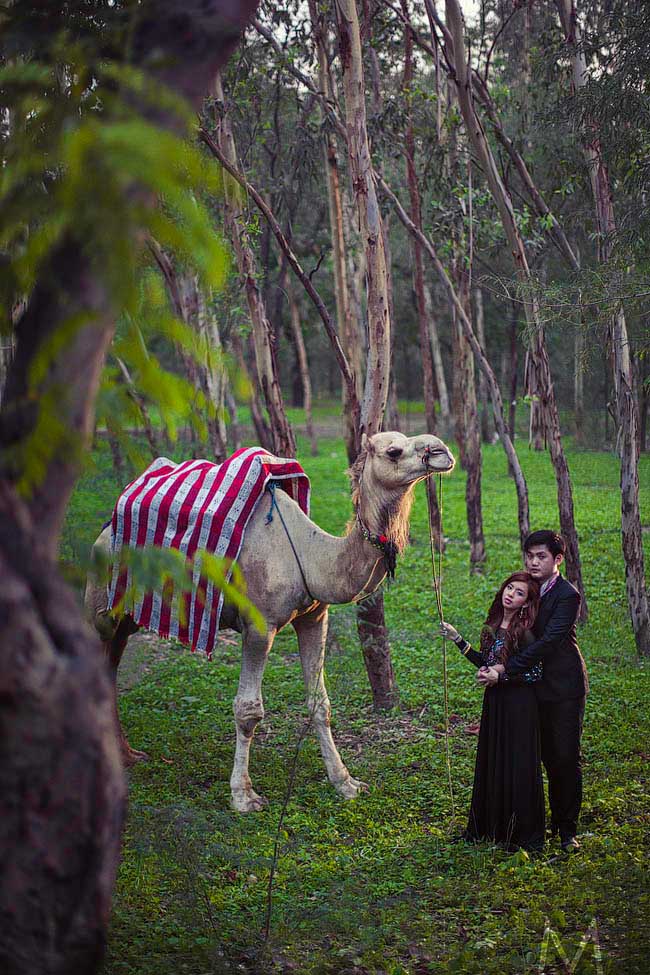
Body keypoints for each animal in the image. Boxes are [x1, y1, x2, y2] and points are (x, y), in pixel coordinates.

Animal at [83, 430, 454, 812]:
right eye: (394, 451)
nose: (442, 451)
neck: (311, 555)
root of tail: (107, 526)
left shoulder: (314, 617)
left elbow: (320, 703)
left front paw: (345, 782)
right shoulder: (259, 627)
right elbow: (248, 710)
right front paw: (243, 795)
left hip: (128, 615)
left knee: (111, 665)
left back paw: (127, 754)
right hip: (101, 601)